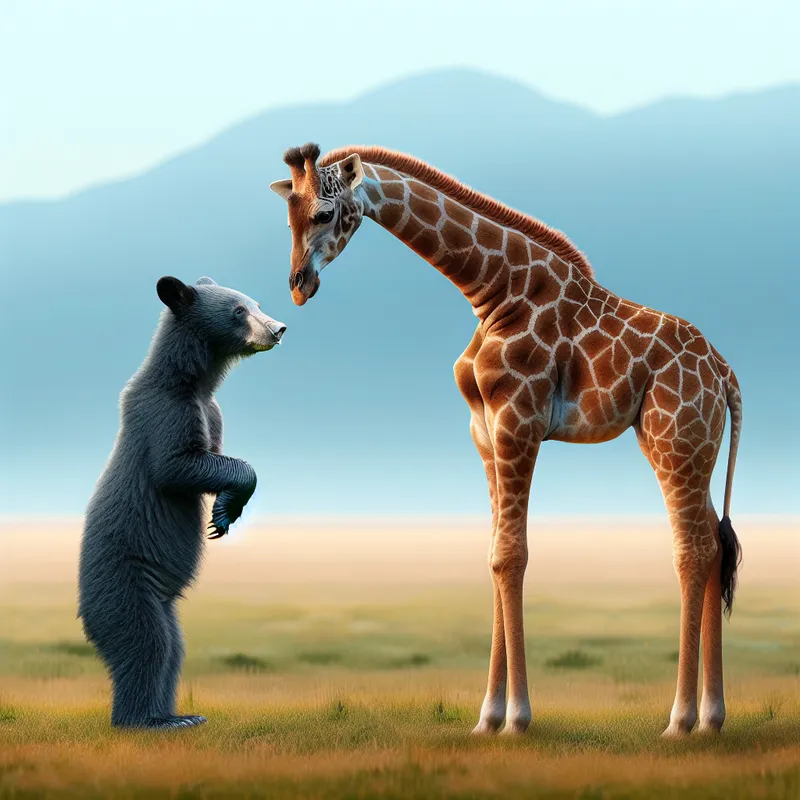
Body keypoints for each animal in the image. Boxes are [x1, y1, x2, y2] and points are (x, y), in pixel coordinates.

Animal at [78, 275, 285, 729]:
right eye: (238, 311)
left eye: (256, 303)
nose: (278, 328)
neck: (195, 382)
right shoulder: (166, 410)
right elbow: (177, 464)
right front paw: (227, 505)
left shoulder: (213, 410)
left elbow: (213, 457)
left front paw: (224, 512)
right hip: (126, 585)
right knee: (145, 643)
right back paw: (148, 721)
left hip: (163, 601)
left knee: (173, 648)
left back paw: (179, 714)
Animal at [270, 143, 743, 738]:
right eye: (288, 216)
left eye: (326, 213)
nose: (298, 285)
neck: (493, 290)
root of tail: (725, 374)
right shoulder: (484, 432)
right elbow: (494, 555)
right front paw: (488, 717)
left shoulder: (519, 420)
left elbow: (511, 556)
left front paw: (516, 717)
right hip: (689, 446)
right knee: (714, 546)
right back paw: (711, 718)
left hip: (675, 439)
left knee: (693, 549)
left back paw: (680, 721)